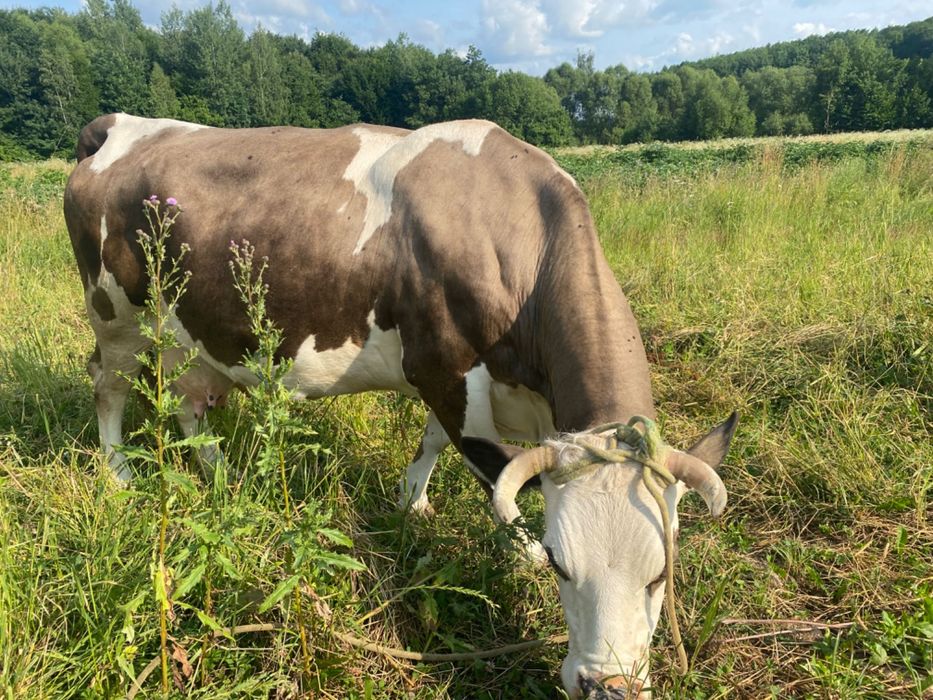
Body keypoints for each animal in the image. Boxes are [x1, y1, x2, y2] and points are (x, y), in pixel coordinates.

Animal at [64, 113, 738, 698]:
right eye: (560, 564)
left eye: (661, 574)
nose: (609, 687)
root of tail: (116, 126)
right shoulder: (446, 370)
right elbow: (484, 467)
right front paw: (515, 549)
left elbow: (439, 442)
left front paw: (412, 504)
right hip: (115, 318)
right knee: (108, 385)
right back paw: (120, 475)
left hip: (190, 341)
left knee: (189, 404)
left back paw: (224, 479)